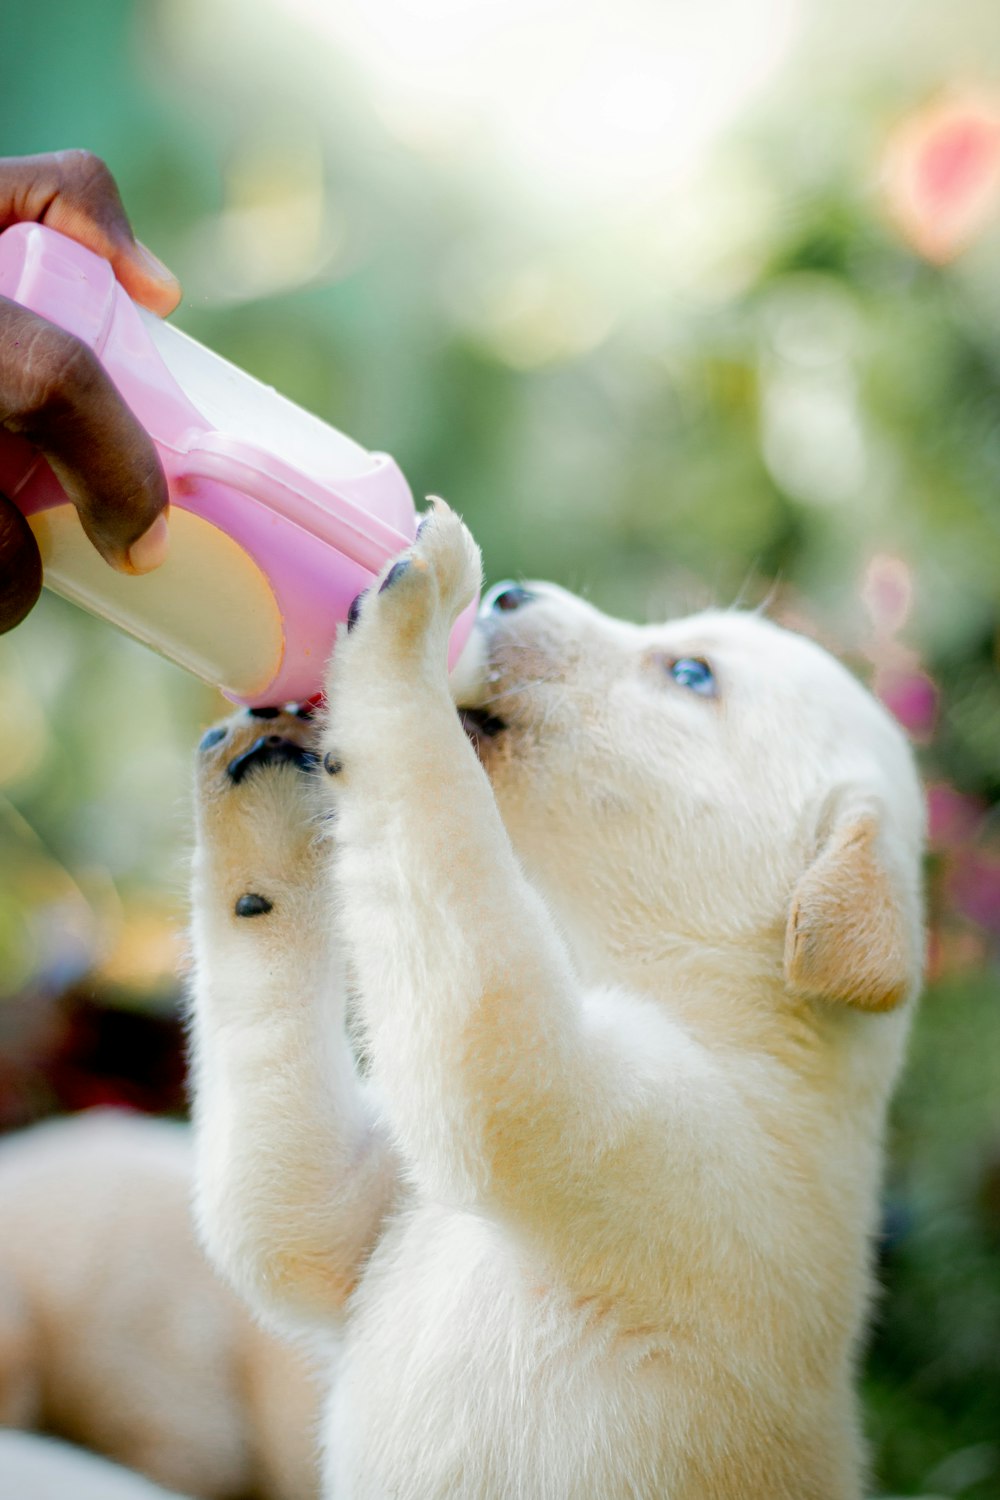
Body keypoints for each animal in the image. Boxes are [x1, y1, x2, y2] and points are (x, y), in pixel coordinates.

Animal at [185, 507, 923, 1500]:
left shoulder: (650, 1143)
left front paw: (411, 608)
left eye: (691, 674)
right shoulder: (361, 1219)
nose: (507, 594)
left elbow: (435, 811)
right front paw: (263, 794)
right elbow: (286, 1204)